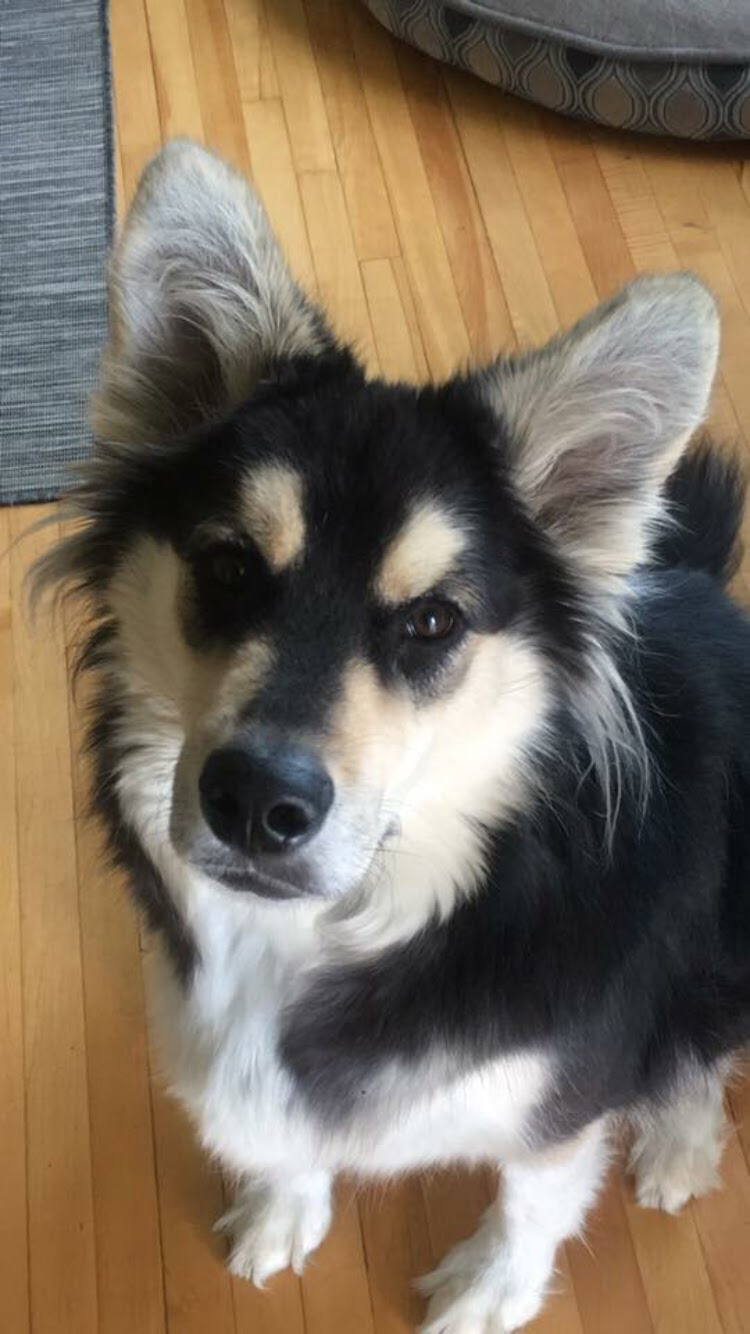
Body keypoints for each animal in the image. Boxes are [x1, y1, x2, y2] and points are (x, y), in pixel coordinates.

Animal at [36, 140, 750, 1333]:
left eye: (433, 623)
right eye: (227, 565)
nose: (257, 802)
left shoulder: (562, 1096)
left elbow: (531, 1202)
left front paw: (488, 1292)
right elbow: (287, 1142)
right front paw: (284, 1206)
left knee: (697, 1055)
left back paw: (681, 1144)